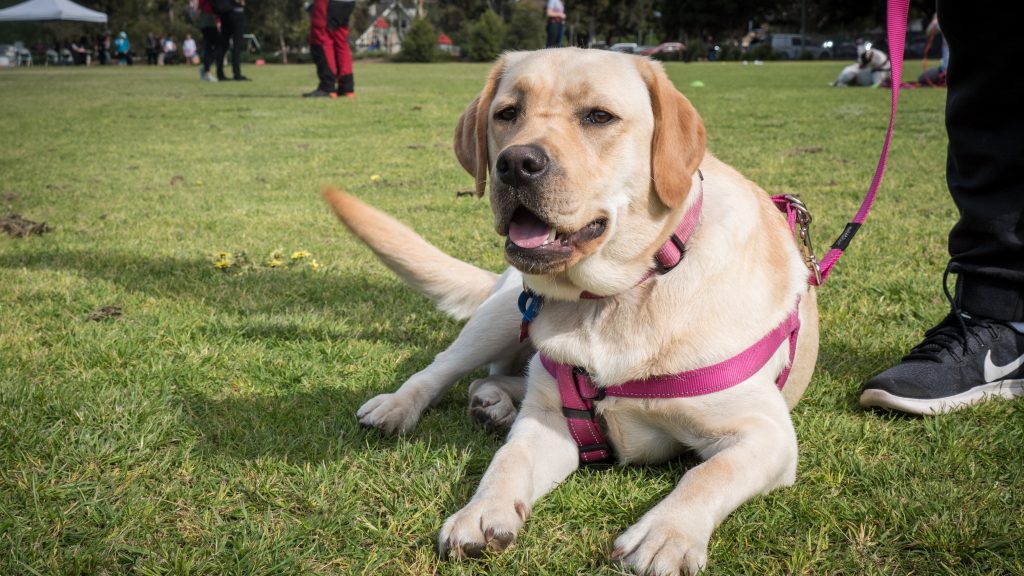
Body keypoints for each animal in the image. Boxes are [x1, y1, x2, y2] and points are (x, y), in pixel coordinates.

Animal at [323, 48, 819, 573]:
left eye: (599, 117)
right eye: (507, 113)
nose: (516, 163)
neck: (617, 297)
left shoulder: (765, 434)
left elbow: (708, 474)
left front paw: (666, 533)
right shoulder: (547, 422)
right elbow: (509, 460)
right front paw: (482, 512)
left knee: (500, 379)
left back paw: (493, 403)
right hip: (505, 313)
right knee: (445, 369)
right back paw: (404, 405)